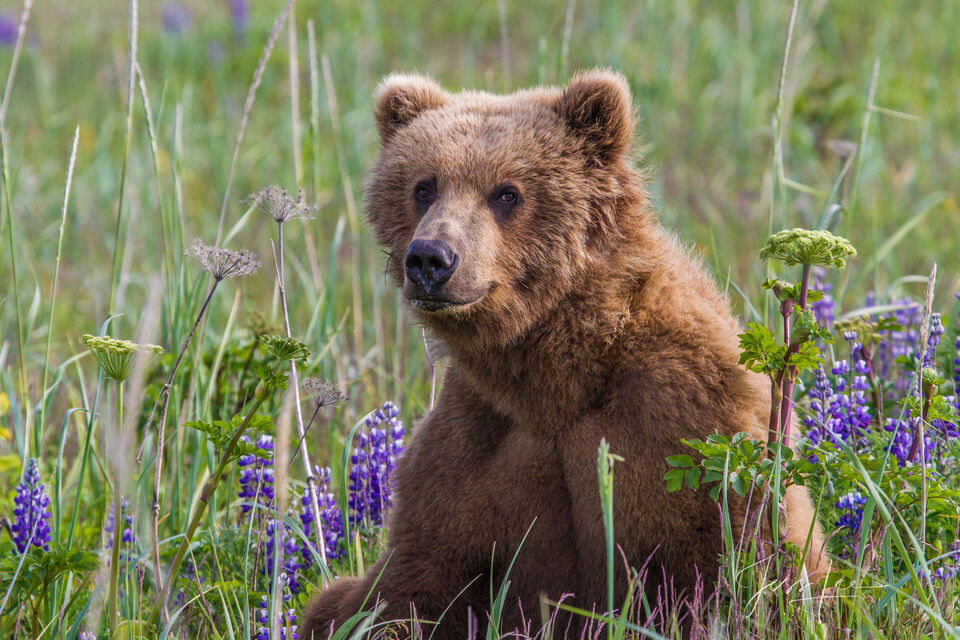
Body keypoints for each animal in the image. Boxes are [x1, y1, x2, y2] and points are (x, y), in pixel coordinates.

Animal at [300, 69, 827, 639]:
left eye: (507, 192)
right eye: (424, 186)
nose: (431, 259)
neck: (557, 368)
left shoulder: (680, 415)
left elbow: (751, 560)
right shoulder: (471, 449)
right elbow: (404, 587)